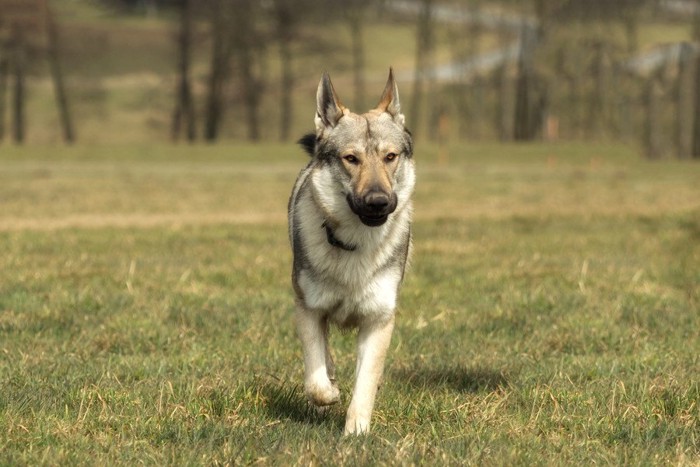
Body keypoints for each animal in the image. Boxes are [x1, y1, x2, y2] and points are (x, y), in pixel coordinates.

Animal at [286, 69, 412, 436]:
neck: (356, 244)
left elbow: (366, 382)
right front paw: (329, 393)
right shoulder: (309, 308)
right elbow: (315, 379)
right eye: (351, 159)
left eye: (390, 157)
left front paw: (356, 431)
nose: (378, 202)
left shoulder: (378, 319)